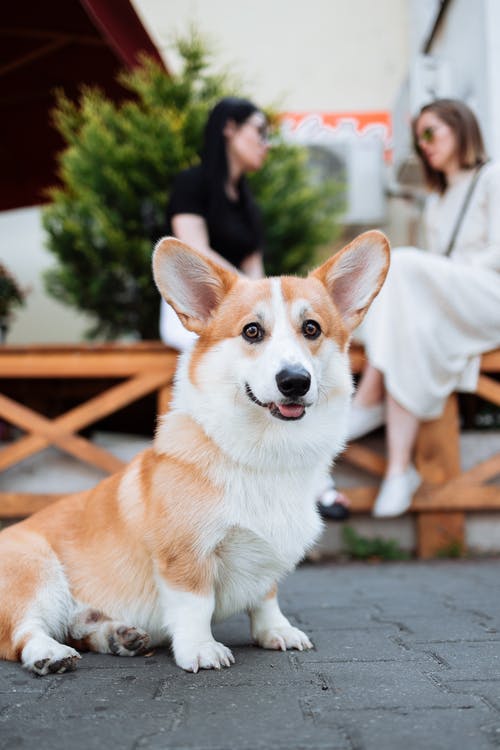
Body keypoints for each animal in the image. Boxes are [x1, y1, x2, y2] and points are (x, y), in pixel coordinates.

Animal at [0, 229, 388, 676]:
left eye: (312, 328)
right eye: (252, 331)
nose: (295, 381)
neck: (265, 453)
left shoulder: (266, 557)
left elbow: (266, 596)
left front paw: (276, 631)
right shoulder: (185, 555)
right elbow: (195, 606)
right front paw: (200, 649)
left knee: (77, 625)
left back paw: (117, 635)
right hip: (37, 573)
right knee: (21, 634)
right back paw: (49, 653)